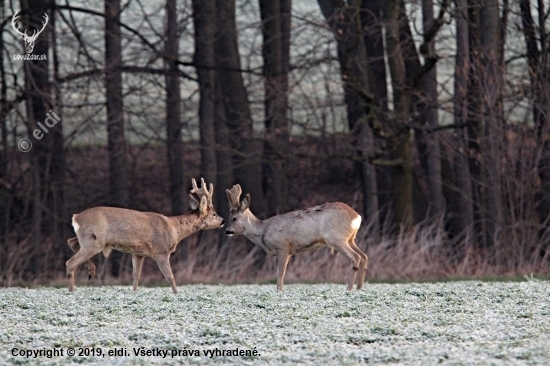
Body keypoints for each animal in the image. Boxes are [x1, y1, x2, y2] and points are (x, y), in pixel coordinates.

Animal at [66, 179, 225, 294]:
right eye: (214, 214)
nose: (223, 221)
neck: (174, 229)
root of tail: (76, 217)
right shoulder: (161, 251)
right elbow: (170, 276)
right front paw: (177, 294)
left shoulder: (138, 253)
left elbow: (136, 277)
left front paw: (134, 293)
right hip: (94, 240)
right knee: (70, 263)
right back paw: (72, 291)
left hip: (87, 239)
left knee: (71, 242)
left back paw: (91, 271)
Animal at [226, 184, 368, 290]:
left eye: (234, 218)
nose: (227, 231)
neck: (263, 231)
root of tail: (356, 216)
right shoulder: (290, 252)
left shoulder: (282, 247)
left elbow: (280, 273)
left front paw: (279, 291)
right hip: (350, 238)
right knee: (364, 256)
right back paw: (359, 288)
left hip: (336, 238)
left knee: (356, 257)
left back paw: (349, 289)